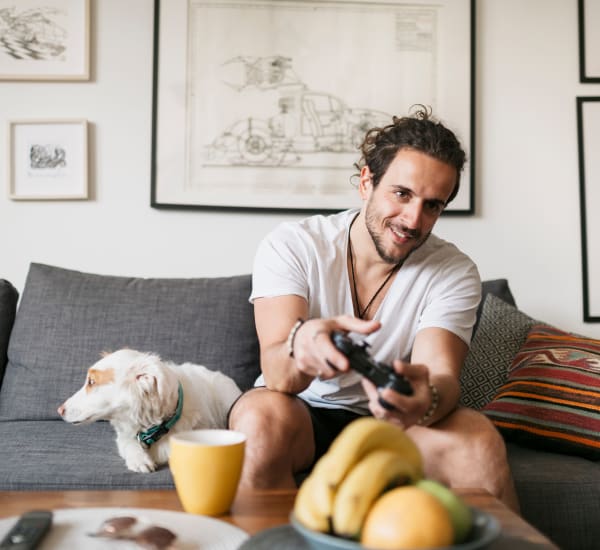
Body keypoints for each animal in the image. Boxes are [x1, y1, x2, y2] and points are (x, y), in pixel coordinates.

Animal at [57, 350, 241, 474]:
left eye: (91, 382)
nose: (59, 410)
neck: (155, 428)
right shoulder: (124, 437)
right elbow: (129, 445)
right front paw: (140, 460)